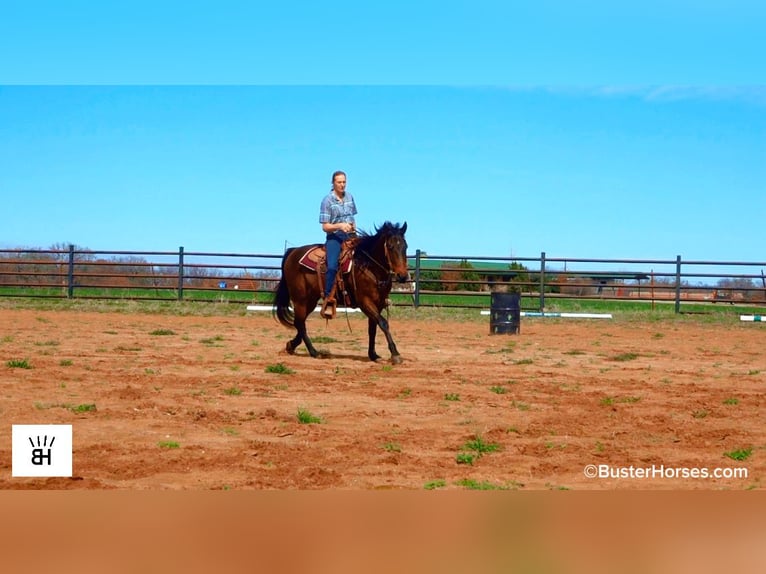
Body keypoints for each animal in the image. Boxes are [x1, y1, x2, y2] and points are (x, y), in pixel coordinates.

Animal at [273, 221, 409, 364]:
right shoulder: (365, 302)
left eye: (405, 246)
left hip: (310, 300)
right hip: (300, 299)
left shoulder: (379, 304)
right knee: (300, 323)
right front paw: (395, 354)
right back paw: (314, 352)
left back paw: (291, 346)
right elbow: (383, 323)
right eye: (390, 246)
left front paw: (373, 355)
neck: (369, 266)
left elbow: (373, 328)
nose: (402, 276)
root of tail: (293, 251)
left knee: (299, 323)